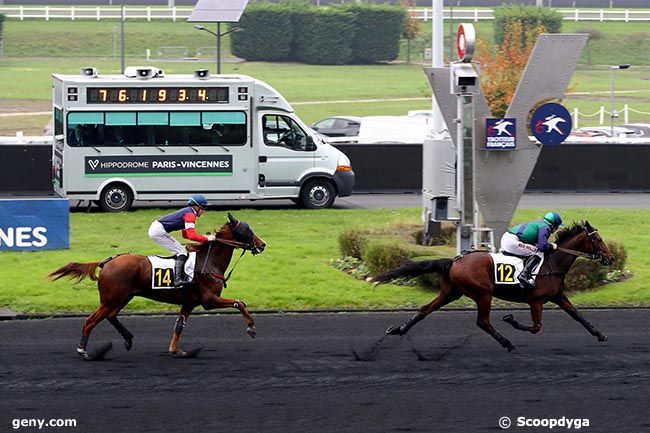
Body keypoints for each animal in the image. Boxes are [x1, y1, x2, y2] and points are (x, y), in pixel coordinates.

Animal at [47, 213, 266, 358]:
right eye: (246, 229)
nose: (262, 244)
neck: (208, 261)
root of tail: (106, 261)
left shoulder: (189, 303)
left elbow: (179, 325)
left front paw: (176, 350)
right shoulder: (209, 300)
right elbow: (240, 303)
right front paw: (252, 328)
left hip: (122, 297)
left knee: (110, 316)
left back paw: (127, 338)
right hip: (112, 298)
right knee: (92, 320)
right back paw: (84, 350)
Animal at [370, 221, 612, 350]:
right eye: (598, 240)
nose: (610, 258)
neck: (552, 263)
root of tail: (455, 260)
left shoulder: (558, 296)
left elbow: (578, 315)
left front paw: (600, 334)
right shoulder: (535, 300)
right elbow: (536, 327)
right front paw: (510, 319)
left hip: (451, 292)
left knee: (424, 310)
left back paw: (399, 329)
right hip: (483, 293)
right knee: (483, 322)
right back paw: (507, 343)